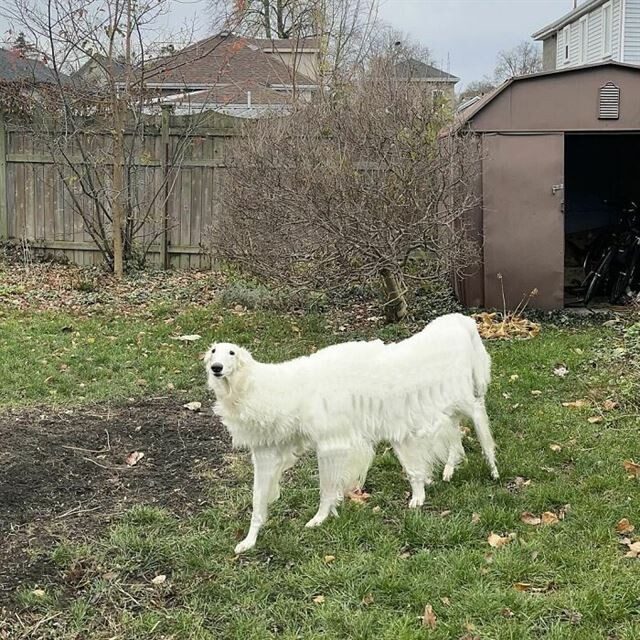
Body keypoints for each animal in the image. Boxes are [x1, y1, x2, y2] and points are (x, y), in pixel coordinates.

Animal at [208, 312, 498, 552]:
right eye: (212, 351)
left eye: (231, 352)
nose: (216, 368)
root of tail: (460, 320)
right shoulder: (266, 453)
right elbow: (258, 502)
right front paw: (248, 541)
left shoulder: (331, 444)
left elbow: (326, 491)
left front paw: (318, 519)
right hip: (426, 412)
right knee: (452, 435)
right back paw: (443, 474)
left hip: (456, 399)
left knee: (476, 414)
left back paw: (492, 466)